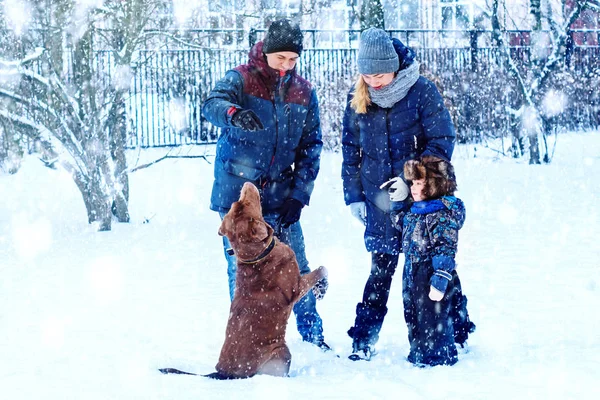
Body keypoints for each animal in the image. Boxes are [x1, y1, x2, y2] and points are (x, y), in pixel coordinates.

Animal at [216, 182, 326, 378]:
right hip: (281, 351)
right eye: (244, 203)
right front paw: (322, 283)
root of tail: (224, 374)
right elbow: (319, 270)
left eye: (237, 204)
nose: (247, 183)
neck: (258, 255)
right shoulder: (296, 288)